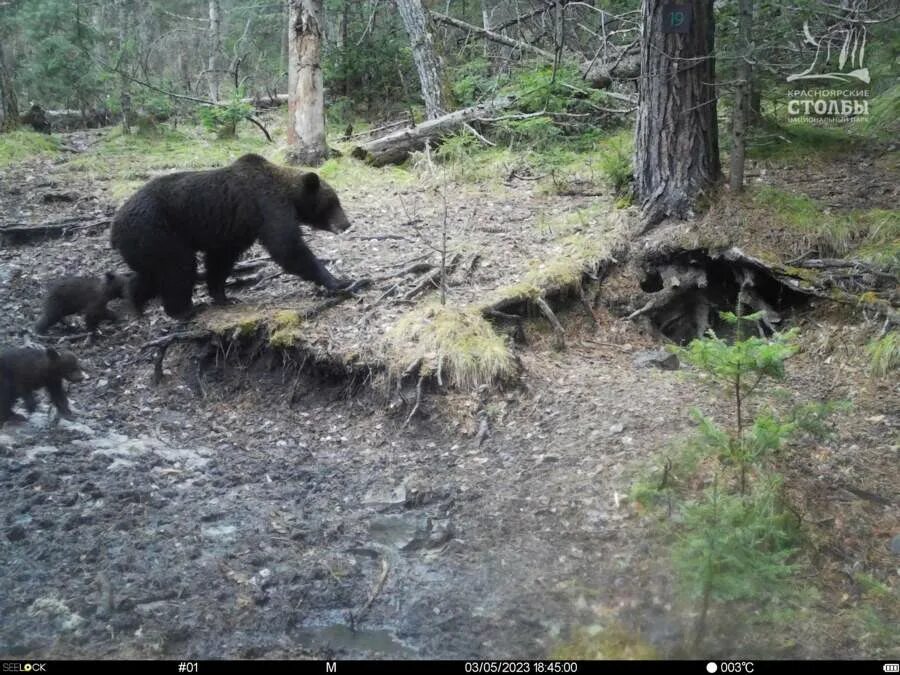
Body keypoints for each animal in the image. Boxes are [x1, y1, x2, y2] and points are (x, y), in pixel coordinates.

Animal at [107, 153, 356, 320]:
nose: (346, 223)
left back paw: (135, 302)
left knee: (151, 273)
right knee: (178, 267)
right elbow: (287, 246)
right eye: (333, 202)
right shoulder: (267, 205)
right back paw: (184, 310)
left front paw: (224, 296)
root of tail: (115, 229)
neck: (290, 194)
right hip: (158, 230)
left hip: (146, 243)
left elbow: (221, 259)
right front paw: (339, 280)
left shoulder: (235, 229)